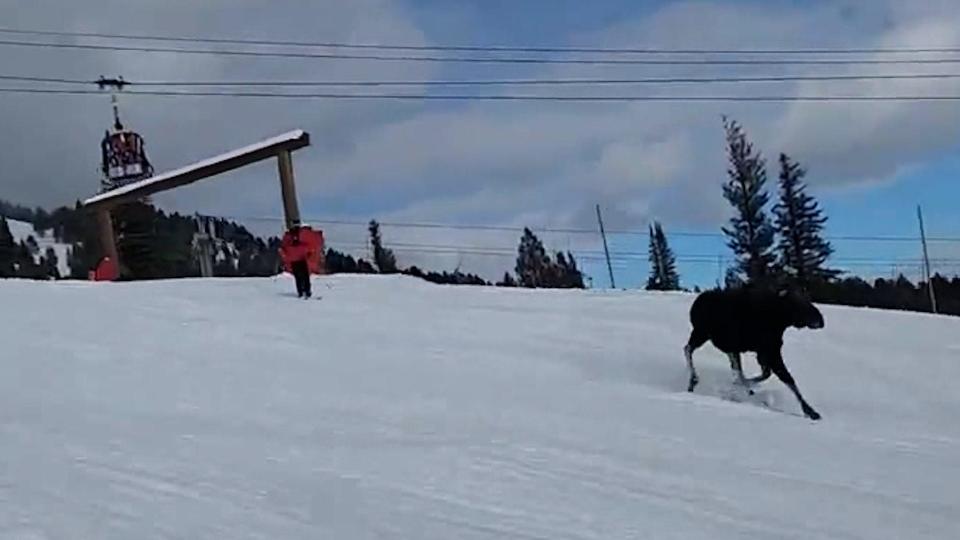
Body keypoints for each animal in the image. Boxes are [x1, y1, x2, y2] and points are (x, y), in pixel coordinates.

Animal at [684, 286, 824, 422]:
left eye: (808, 298)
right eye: (795, 302)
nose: (820, 320)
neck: (778, 321)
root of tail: (696, 303)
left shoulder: (766, 352)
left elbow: (770, 375)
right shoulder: (768, 352)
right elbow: (786, 378)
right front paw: (810, 411)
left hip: (723, 344)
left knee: (735, 368)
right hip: (701, 332)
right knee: (687, 349)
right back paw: (693, 381)